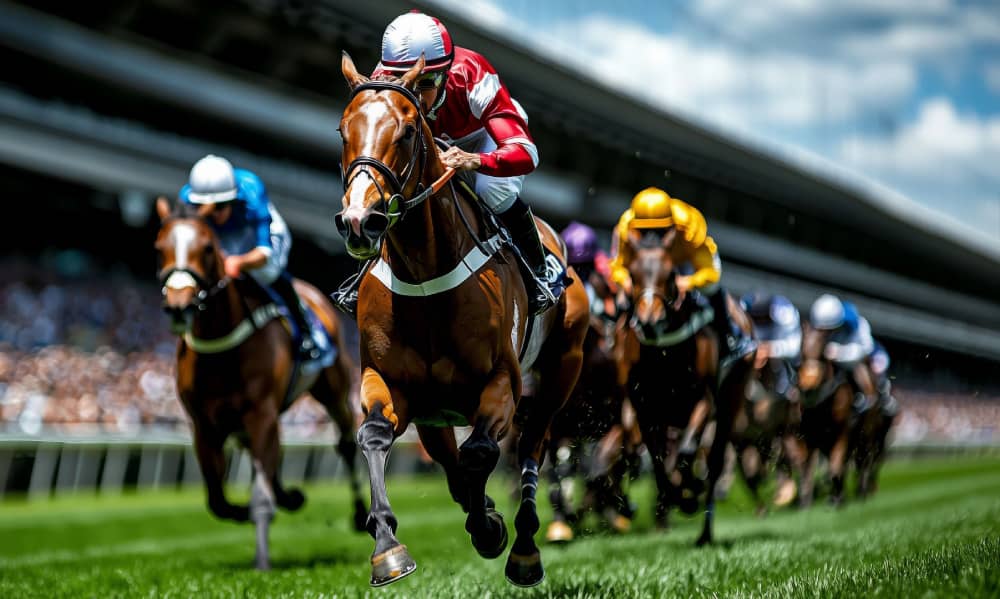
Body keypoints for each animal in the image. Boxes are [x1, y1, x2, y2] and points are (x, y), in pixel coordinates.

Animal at [158, 198, 370, 572]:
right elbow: (217, 499)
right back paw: (289, 495)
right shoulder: (203, 425)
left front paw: (262, 560)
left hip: (333, 390)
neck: (221, 344)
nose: (179, 306)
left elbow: (260, 495)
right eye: (159, 247)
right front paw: (252, 508)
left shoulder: (261, 414)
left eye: (208, 248)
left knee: (345, 443)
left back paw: (360, 515)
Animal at [338, 57, 584, 592]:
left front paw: (491, 527)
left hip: (561, 370)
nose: (360, 221)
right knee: (455, 461)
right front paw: (387, 550)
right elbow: (376, 437)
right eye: (343, 130)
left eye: (408, 131)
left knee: (531, 447)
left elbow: (480, 454)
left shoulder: (502, 382)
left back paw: (526, 548)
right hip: (435, 410)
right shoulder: (389, 380)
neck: (425, 274)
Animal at [612, 227, 752, 548]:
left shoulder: (704, 400)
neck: (664, 353)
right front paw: (673, 494)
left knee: (714, 460)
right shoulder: (643, 408)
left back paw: (704, 531)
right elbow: (655, 458)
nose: (649, 321)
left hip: (731, 400)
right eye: (633, 273)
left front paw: (688, 493)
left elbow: (688, 451)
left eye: (670, 273)